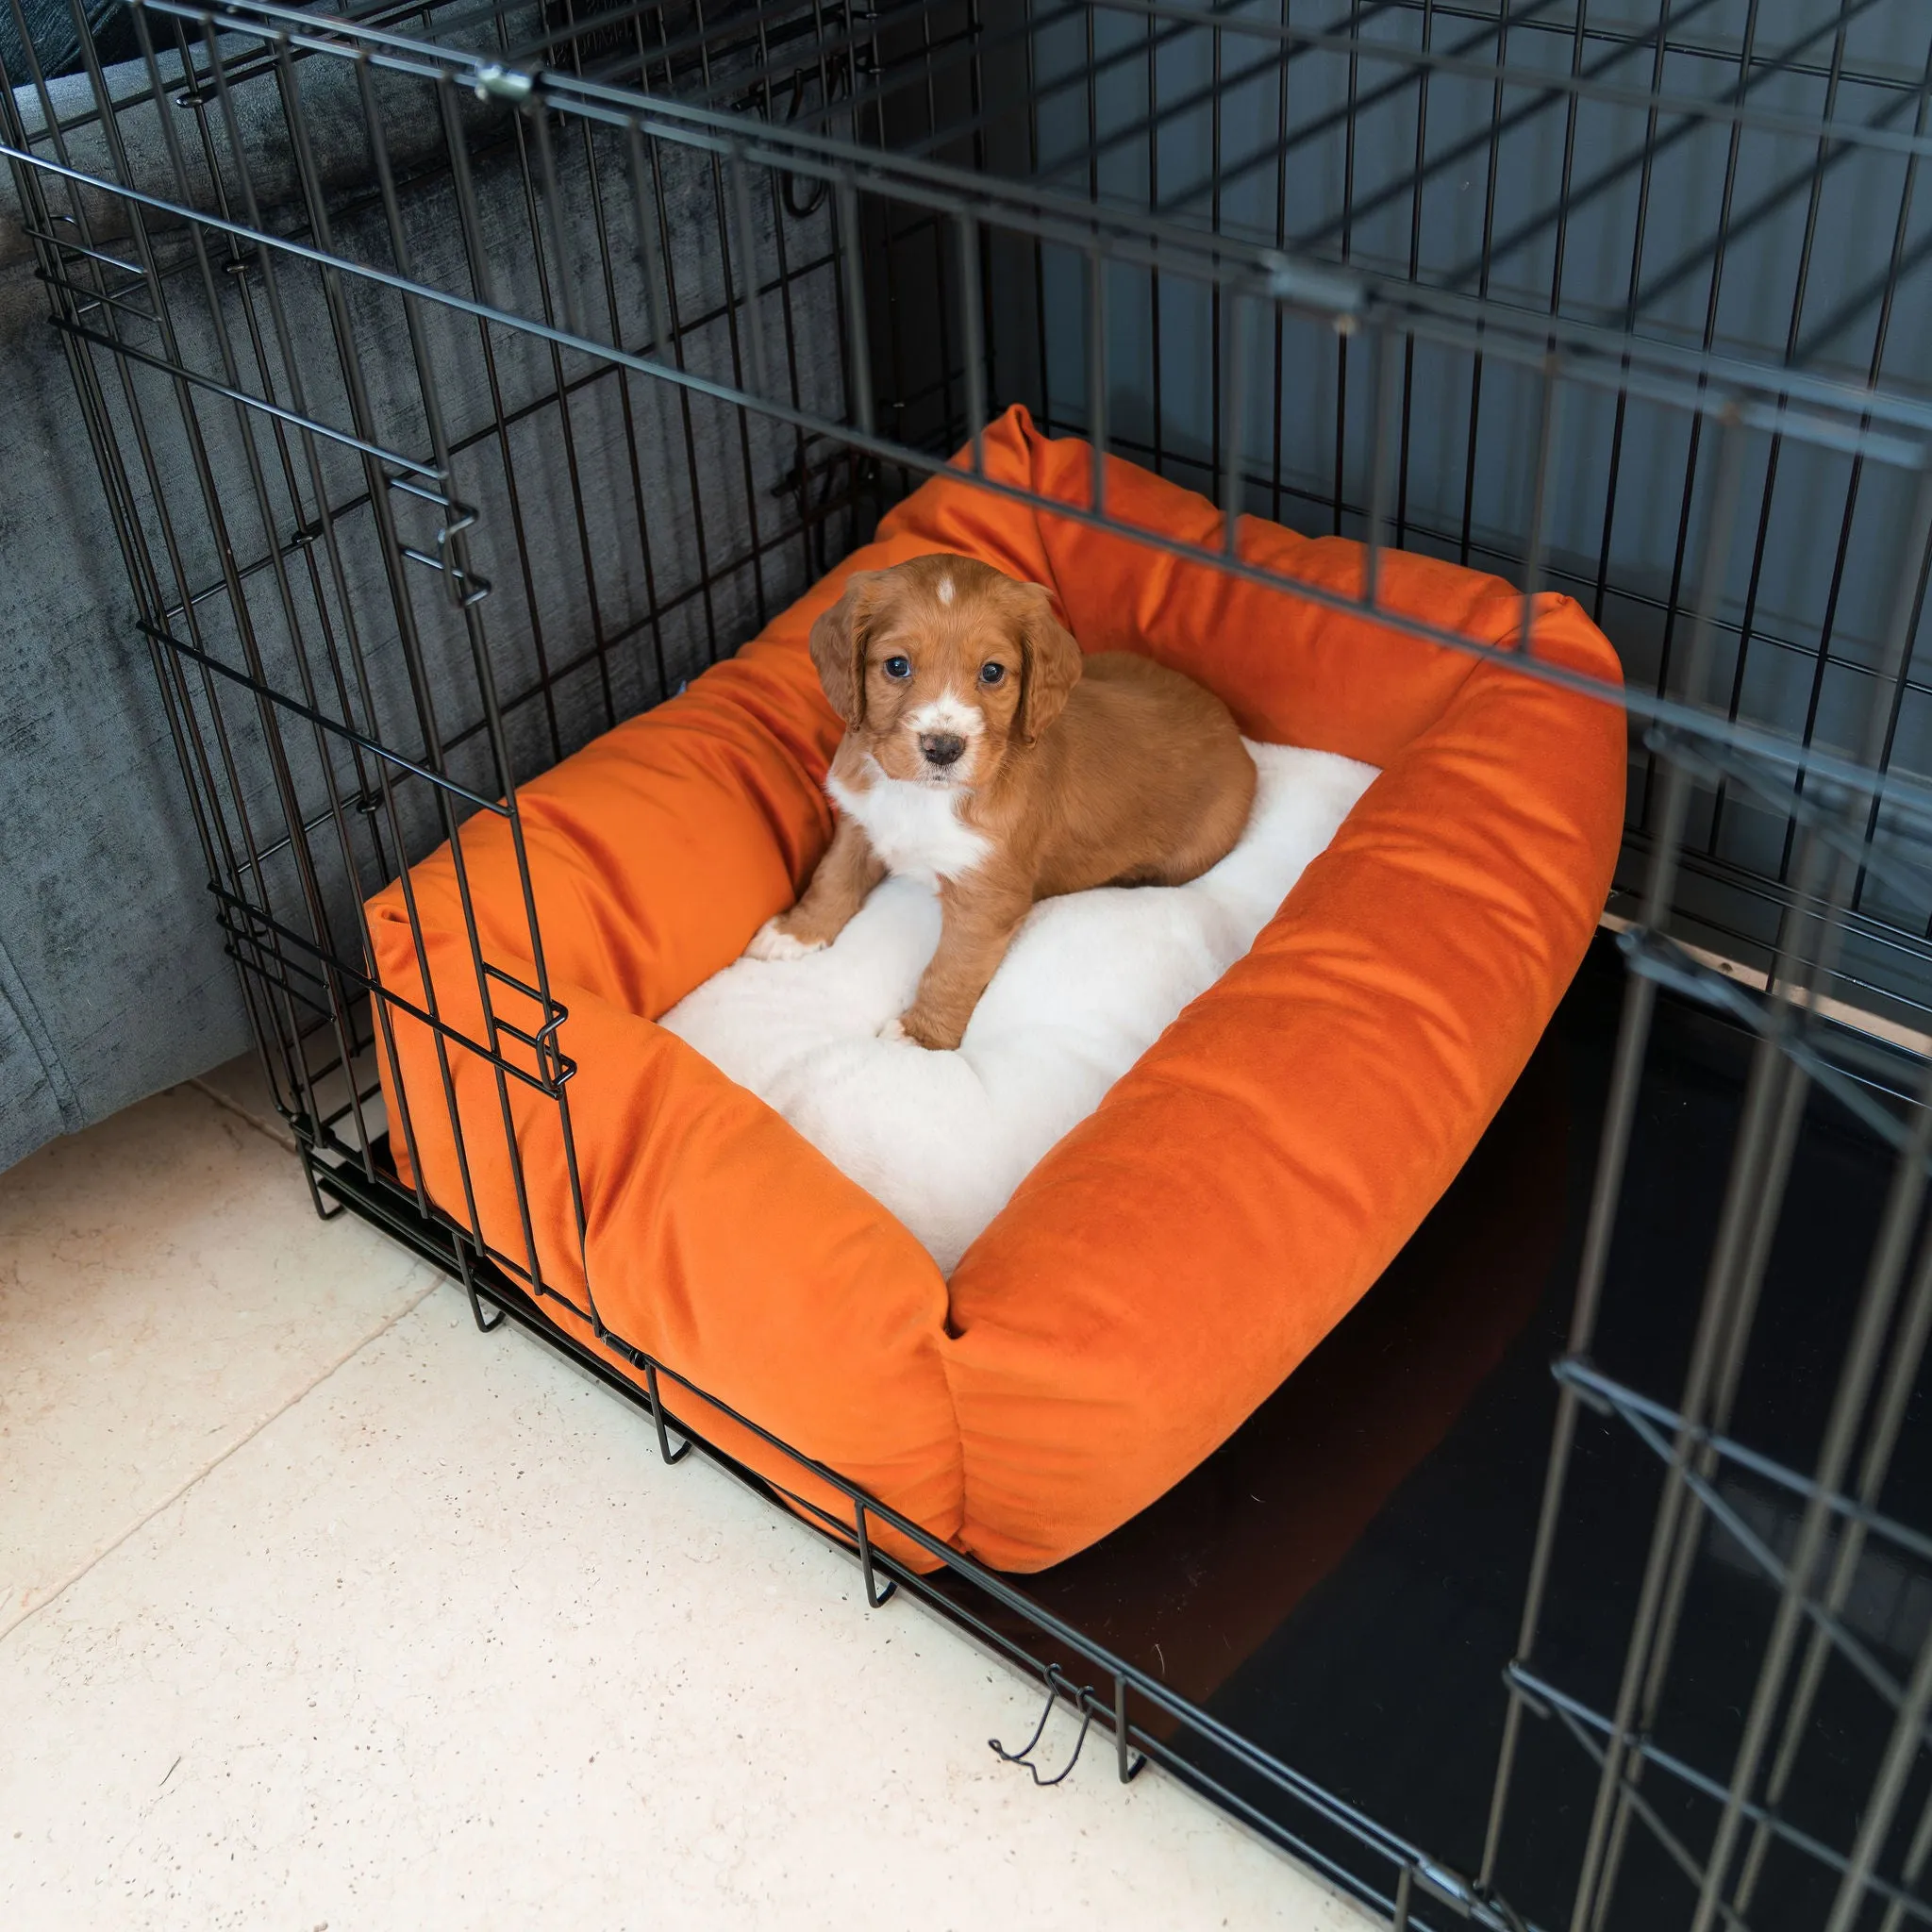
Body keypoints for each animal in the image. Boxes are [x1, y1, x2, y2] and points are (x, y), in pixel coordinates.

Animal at [738, 552, 1252, 1051]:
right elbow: (832, 879)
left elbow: (952, 968)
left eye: (992, 672)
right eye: (897, 666)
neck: (921, 797)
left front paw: (920, 1037)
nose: (943, 748)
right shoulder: (860, 823)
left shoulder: (986, 900)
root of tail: (1235, 734)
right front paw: (795, 933)